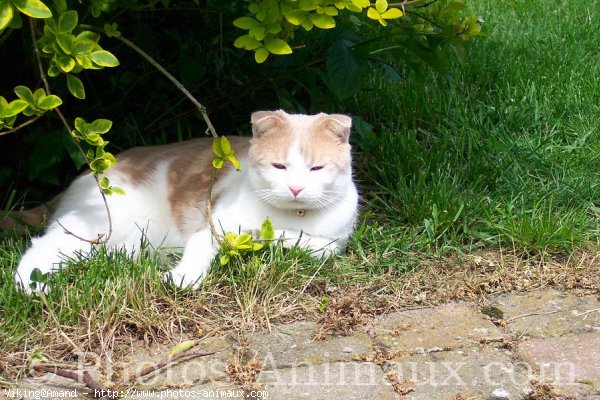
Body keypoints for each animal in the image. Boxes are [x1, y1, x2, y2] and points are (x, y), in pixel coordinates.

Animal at [14, 109, 358, 290]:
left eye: (316, 168)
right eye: (279, 166)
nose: (296, 188)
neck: (291, 215)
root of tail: (93, 170)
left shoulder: (334, 244)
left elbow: (309, 245)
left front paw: (267, 239)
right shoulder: (215, 223)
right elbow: (200, 248)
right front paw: (183, 277)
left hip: (119, 244)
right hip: (99, 224)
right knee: (42, 245)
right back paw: (32, 286)